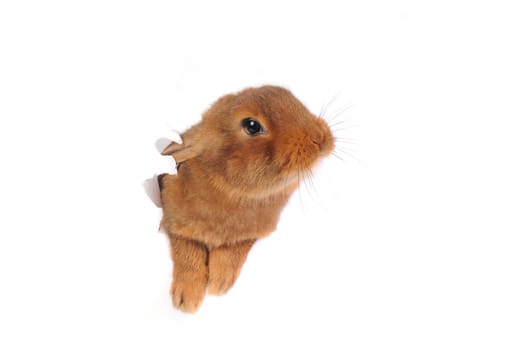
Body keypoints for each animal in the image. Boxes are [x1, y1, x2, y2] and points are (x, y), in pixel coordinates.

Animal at [159, 85, 336, 312]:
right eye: (252, 126)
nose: (319, 138)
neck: (232, 191)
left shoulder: (251, 233)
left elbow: (233, 250)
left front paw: (219, 282)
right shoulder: (173, 219)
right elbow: (187, 250)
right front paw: (186, 299)